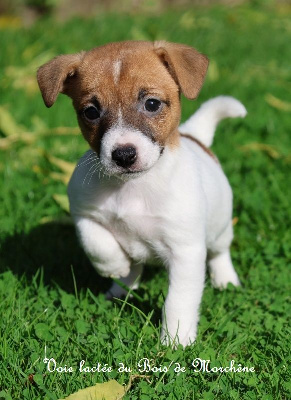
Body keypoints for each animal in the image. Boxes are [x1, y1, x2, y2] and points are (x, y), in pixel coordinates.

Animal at [36, 40, 246, 346]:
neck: (134, 187)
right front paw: (114, 267)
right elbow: (96, 243)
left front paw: (176, 340)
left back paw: (225, 279)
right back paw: (121, 286)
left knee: (220, 252)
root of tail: (194, 136)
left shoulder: (186, 252)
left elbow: (178, 300)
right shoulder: (83, 212)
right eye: (91, 111)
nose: (123, 154)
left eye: (152, 104)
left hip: (219, 229)